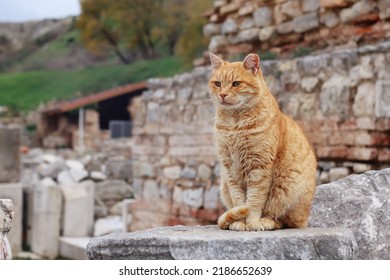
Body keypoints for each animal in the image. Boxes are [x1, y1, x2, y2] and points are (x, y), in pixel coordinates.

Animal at [207, 53, 316, 232]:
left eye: (236, 84)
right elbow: (239, 200)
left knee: (283, 221)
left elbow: (254, 200)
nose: (222, 94)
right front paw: (239, 222)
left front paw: (252, 223)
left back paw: (266, 221)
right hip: (223, 187)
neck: (235, 124)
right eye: (218, 84)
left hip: (288, 188)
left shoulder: (259, 167)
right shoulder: (230, 169)